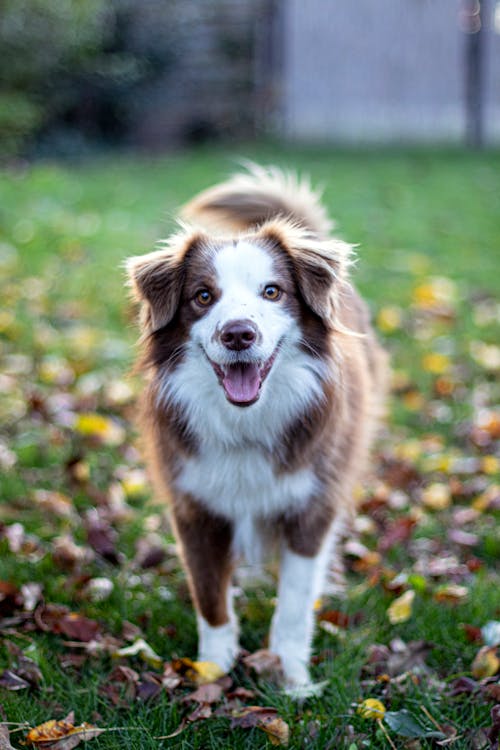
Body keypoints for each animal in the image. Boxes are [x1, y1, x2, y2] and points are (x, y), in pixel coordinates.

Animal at [124, 164, 386, 688]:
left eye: (272, 291)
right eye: (203, 296)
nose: (238, 334)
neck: (245, 424)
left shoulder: (311, 506)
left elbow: (294, 605)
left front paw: (291, 676)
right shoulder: (194, 505)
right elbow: (209, 596)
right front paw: (212, 670)